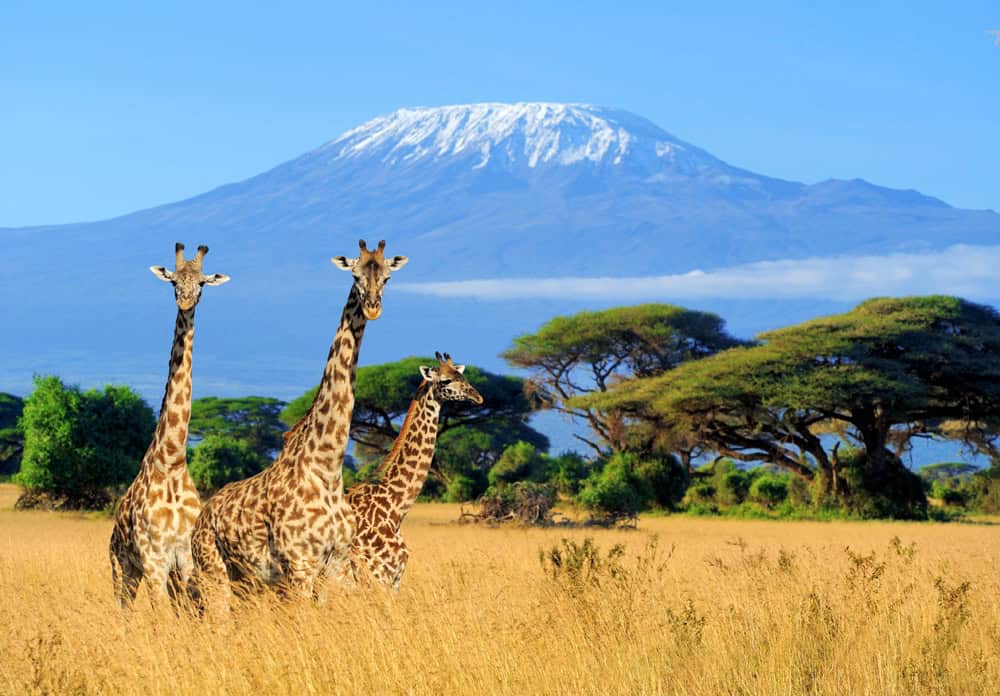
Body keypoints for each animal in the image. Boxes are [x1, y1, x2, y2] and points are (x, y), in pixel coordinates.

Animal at [109, 243, 230, 609]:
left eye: (202, 283)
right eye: (174, 281)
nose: (186, 302)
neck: (173, 461)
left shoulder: (185, 560)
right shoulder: (154, 560)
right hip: (122, 567)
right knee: (123, 610)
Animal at [190, 239, 407, 610]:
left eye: (387, 277)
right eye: (355, 275)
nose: (373, 307)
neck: (327, 467)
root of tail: (200, 519)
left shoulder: (336, 563)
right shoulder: (299, 565)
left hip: (245, 580)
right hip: (213, 570)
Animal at [344, 352, 483, 591]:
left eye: (462, 376)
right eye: (445, 380)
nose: (478, 397)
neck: (394, 509)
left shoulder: (395, 577)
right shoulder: (379, 574)